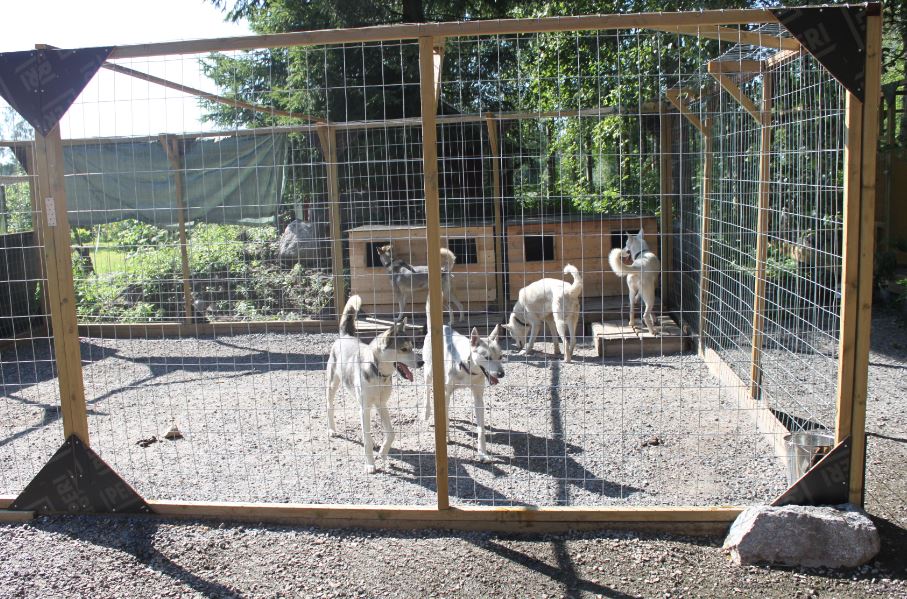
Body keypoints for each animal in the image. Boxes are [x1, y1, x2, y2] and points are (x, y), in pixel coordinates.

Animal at [326, 295, 423, 474]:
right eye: (403, 349)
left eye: (412, 347)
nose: (422, 362)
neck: (379, 373)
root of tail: (345, 335)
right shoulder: (365, 408)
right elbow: (367, 437)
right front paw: (370, 464)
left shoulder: (381, 404)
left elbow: (391, 433)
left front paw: (383, 454)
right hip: (332, 385)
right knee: (329, 406)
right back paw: (332, 430)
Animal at [422, 325, 504, 462]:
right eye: (487, 358)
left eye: (500, 357)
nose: (501, 374)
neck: (468, 369)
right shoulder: (446, 394)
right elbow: (445, 418)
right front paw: (447, 438)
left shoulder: (478, 398)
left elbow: (481, 429)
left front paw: (483, 453)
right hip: (429, 373)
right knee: (427, 390)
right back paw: (426, 412)